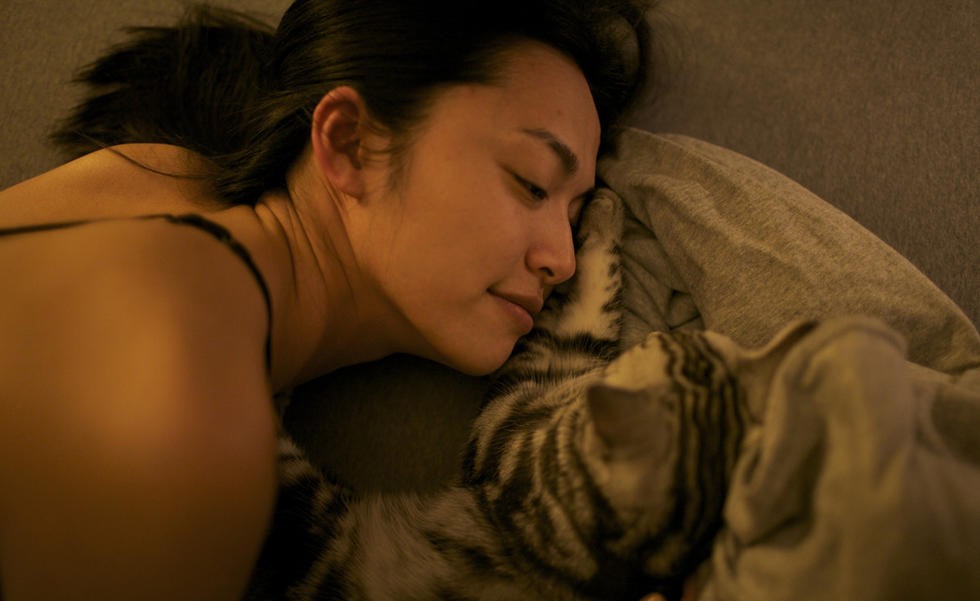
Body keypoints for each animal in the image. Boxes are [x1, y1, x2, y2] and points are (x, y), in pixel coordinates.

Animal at [245, 191, 813, 601]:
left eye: (653, 346)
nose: (654, 333)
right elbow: (598, 297)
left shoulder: (509, 408)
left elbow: (592, 297)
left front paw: (602, 211)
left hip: (311, 511)